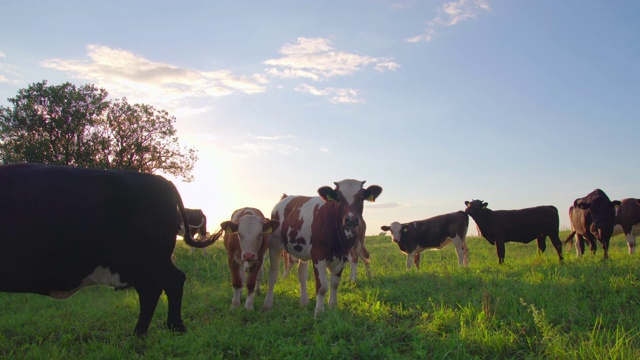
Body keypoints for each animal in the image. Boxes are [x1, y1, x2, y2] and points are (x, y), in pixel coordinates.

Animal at [0, 162, 220, 336]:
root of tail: (163, 181)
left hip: (149, 259)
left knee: (173, 280)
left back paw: (174, 327)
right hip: (140, 265)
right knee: (152, 290)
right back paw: (139, 334)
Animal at [260, 179, 380, 316]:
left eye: (361, 199)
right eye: (338, 199)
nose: (351, 220)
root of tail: (286, 197)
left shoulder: (342, 256)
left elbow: (334, 283)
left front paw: (332, 307)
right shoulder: (318, 255)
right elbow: (322, 286)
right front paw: (319, 313)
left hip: (302, 250)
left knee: (302, 275)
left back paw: (304, 302)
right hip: (274, 245)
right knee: (273, 274)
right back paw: (268, 304)